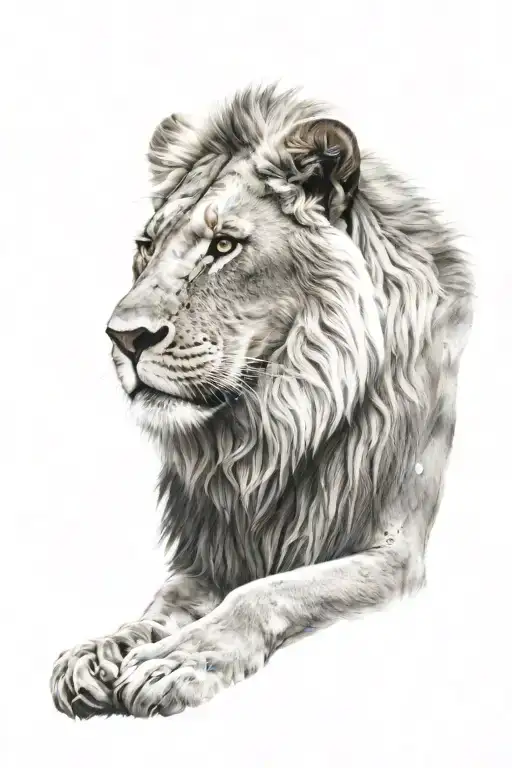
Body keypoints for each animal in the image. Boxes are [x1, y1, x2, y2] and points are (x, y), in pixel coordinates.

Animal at [50, 84, 473, 719]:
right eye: (146, 247)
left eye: (223, 245)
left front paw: (176, 663)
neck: (270, 428)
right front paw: (104, 649)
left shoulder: (397, 555)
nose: (123, 338)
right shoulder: (209, 557)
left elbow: (267, 591)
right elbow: (162, 601)